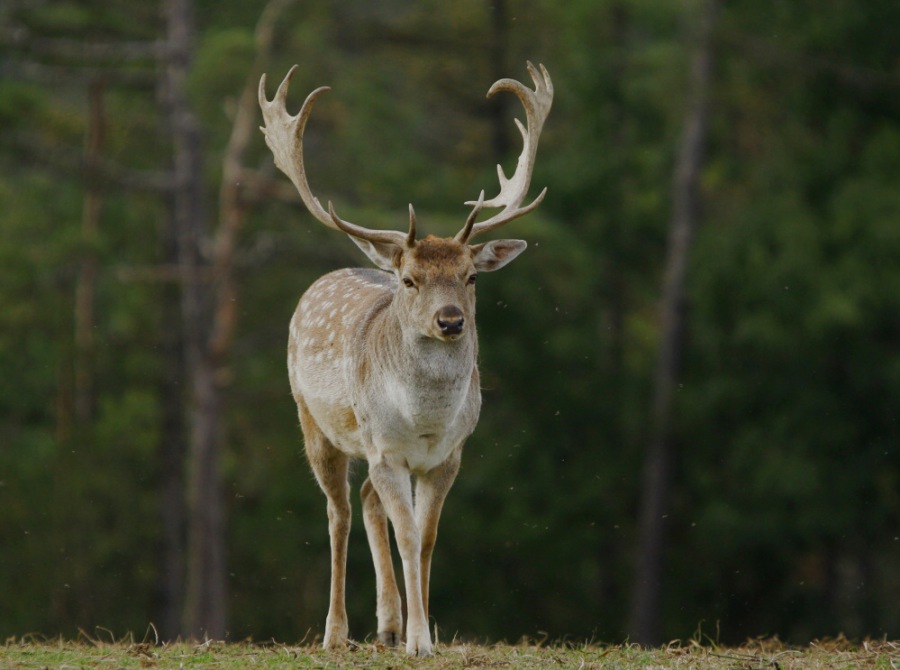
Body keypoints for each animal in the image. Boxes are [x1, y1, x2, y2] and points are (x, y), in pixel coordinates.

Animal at [258, 61, 553, 656]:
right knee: (339, 512)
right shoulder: (387, 448)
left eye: (470, 276)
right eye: (411, 279)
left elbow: (427, 537)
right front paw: (420, 641)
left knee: (368, 500)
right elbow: (408, 533)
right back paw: (336, 632)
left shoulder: (449, 455)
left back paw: (388, 625)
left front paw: (422, 632)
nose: (450, 320)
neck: (424, 422)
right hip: (315, 422)